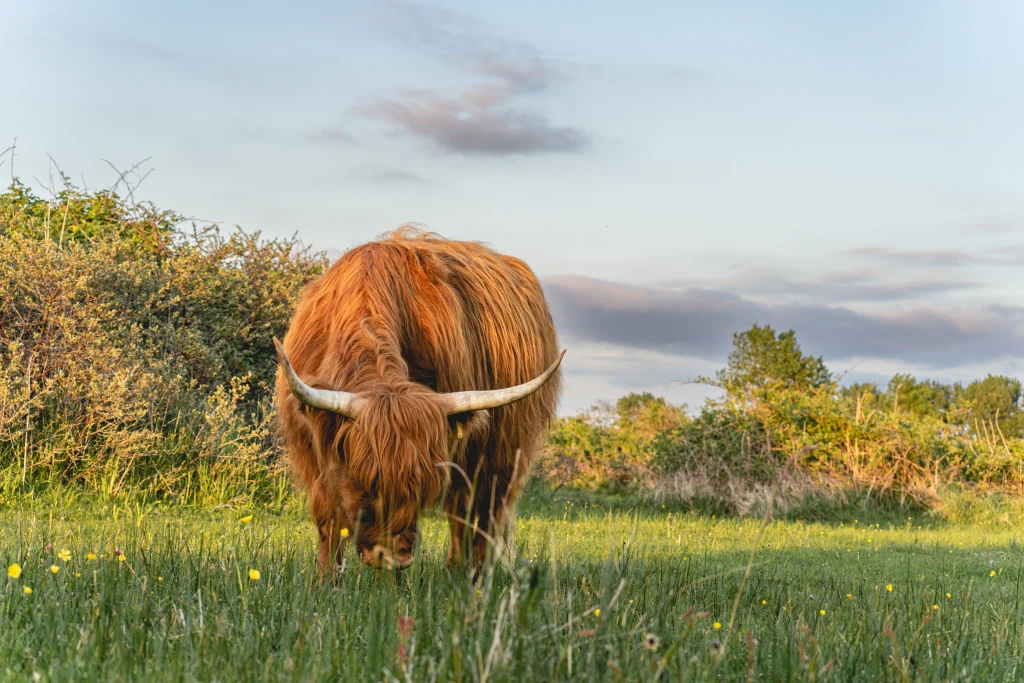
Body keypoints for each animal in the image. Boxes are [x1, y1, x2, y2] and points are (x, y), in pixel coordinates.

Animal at [274, 227, 564, 577]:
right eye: (365, 482)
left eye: (422, 485)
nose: (393, 557)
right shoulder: (311, 447)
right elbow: (327, 520)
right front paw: (327, 579)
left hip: (502, 451)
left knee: (477, 514)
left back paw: (468, 574)